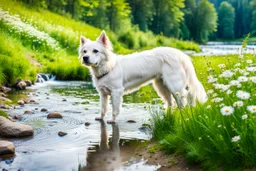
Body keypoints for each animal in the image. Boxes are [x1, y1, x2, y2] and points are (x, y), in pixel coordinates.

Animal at [78, 30, 208, 122]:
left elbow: (115, 109)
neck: (108, 67)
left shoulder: (116, 92)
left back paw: (182, 116)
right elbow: (103, 108)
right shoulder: (103, 93)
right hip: (161, 86)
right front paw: (101, 117)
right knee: (170, 103)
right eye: (84, 51)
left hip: (174, 85)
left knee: (182, 100)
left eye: (95, 51)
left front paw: (112, 120)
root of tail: (180, 54)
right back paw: (168, 117)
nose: (85, 58)